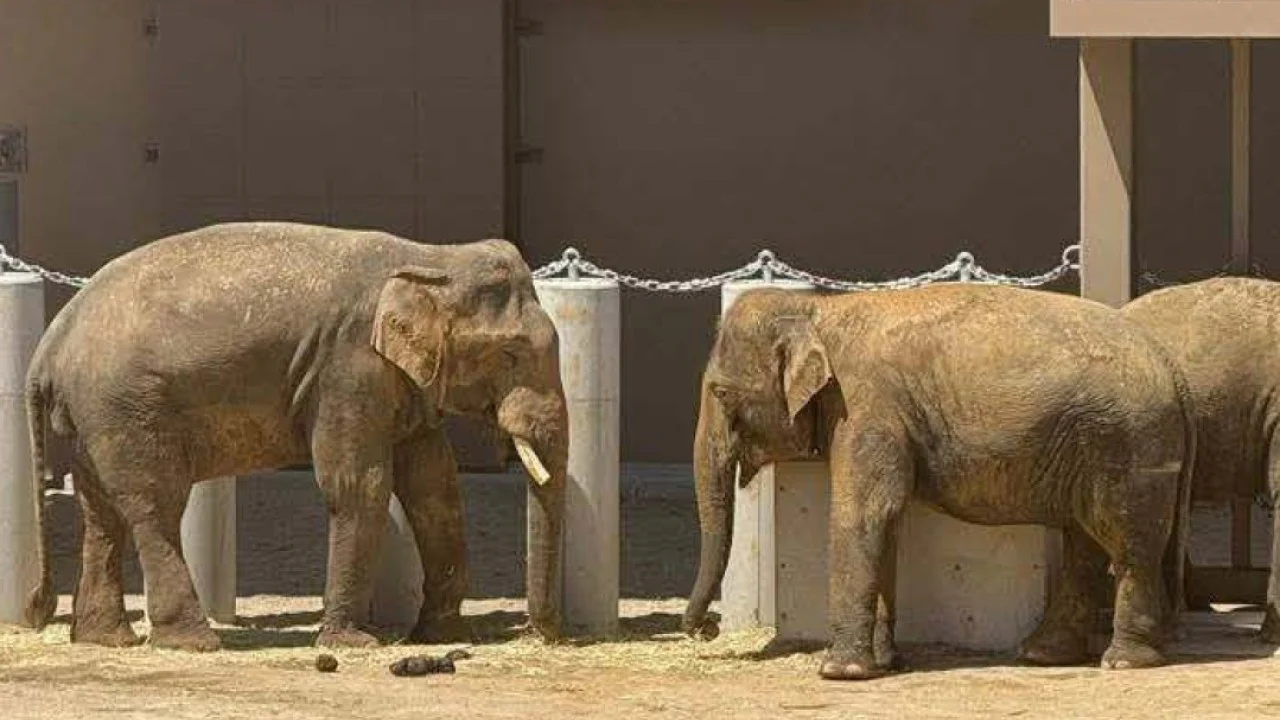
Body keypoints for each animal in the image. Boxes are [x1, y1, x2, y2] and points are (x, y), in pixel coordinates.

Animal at [21, 221, 568, 652]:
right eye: (511, 355)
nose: (539, 634)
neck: (432, 257)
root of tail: (49, 344)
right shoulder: (347, 366)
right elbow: (361, 485)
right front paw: (352, 644)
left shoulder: (401, 380)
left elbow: (435, 484)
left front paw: (442, 637)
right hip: (124, 407)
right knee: (155, 507)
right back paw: (194, 642)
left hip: (94, 417)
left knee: (101, 513)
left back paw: (105, 639)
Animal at [681, 283, 1193, 680]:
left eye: (720, 393)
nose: (704, 630)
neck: (819, 310)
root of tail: (1171, 366)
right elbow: (888, 521)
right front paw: (885, 663)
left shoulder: (866, 407)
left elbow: (865, 513)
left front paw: (839, 672)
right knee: (1084, 545)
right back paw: (1043, 655)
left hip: (1130, 446)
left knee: (1127, 545)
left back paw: (1123, 662)